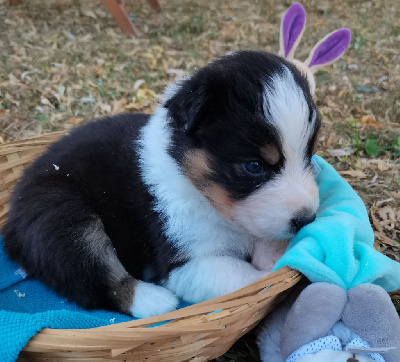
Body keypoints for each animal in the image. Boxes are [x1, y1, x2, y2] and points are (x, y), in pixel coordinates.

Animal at [2, 50, 322, 316]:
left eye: (308, 155)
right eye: (254, 166)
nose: (307, 219)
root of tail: (11, 220)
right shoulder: (185, 262)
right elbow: (247, 278)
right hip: (64, 217)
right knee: (92, 279)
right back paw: (155, 300)